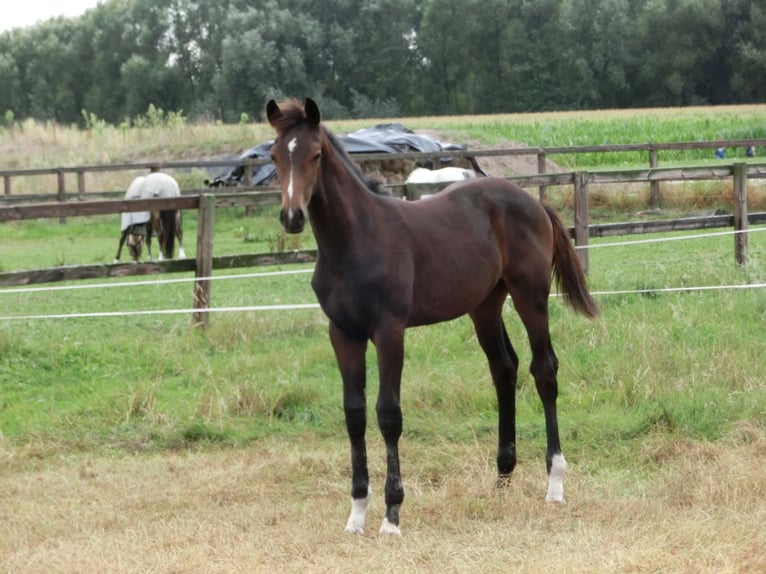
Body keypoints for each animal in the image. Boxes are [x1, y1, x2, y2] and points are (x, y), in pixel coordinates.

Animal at [268, 98, 600, 536]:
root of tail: (533, 201)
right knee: (504, 369)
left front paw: (392, 515)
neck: (355, 241)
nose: (292, 217)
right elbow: (354, 415)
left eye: (316, 155)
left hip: (530, 295)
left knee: (544, 370)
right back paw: (502, 478)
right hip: (485, 305)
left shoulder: (389, 332)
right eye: (275, 156)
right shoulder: (343, 334)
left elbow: (388, 414)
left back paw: (554, 483)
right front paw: (356, 514)